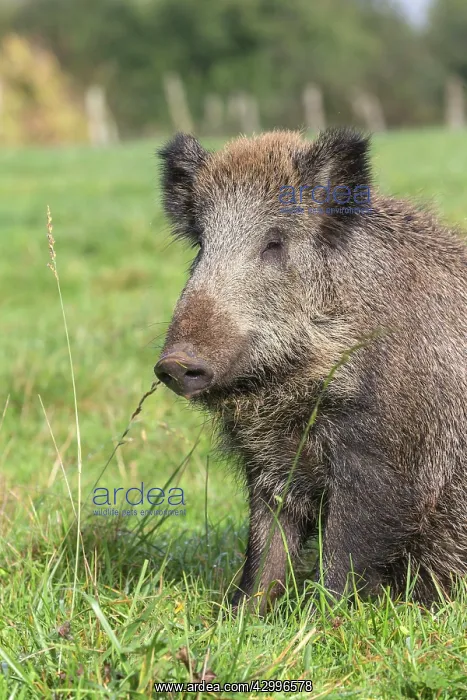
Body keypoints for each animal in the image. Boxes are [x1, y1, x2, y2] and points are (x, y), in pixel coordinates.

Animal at [154, 128, 467, 611]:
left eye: (275, 242)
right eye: (202, 245)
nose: (174, 363)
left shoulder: (387, 457)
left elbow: (346, 548)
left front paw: (322, 617)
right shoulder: (268, 463)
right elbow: (265, 548)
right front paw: (241, 615)